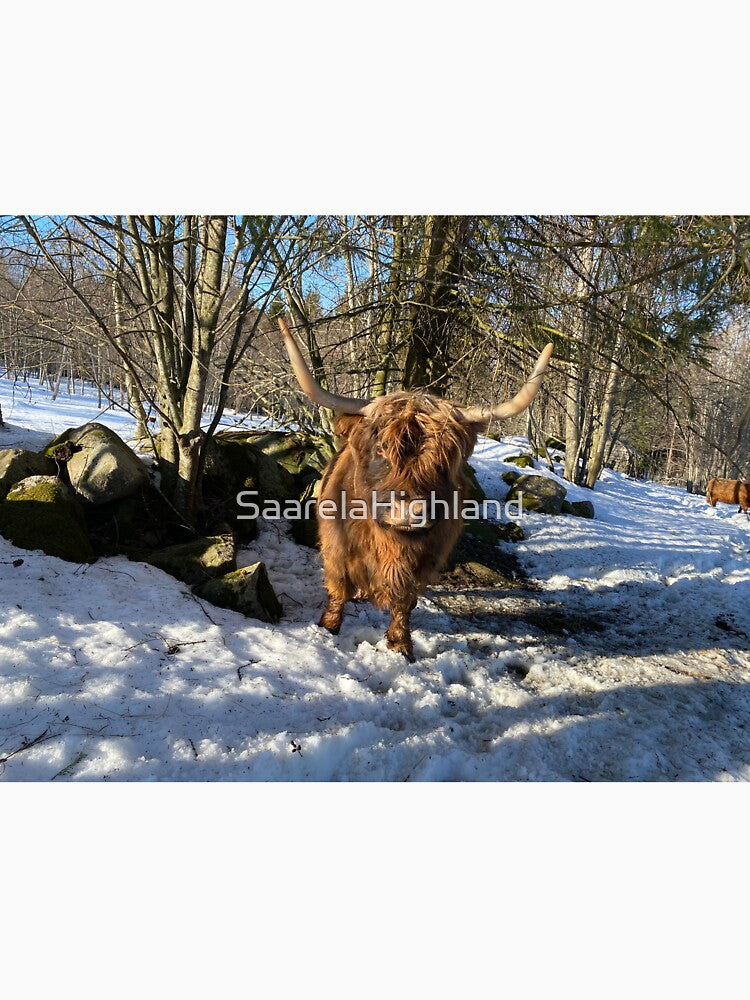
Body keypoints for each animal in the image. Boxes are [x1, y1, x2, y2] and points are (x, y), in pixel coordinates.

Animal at [278, 317, 553, 660]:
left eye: (446, 457)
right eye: (380, 449)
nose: (410, 511)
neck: (391, 546)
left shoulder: (427, 559)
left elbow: (404, 601)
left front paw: (400, 646)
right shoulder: (337, 548)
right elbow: (338, 589)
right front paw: (328, 629)